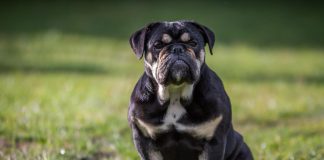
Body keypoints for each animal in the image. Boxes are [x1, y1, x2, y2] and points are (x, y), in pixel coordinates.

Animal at [127, 20, 253, 159]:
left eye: (193, 43)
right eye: (158, 45)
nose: (177, 48)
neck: (175, 93)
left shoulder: (214, 140)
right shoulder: (144, 140)